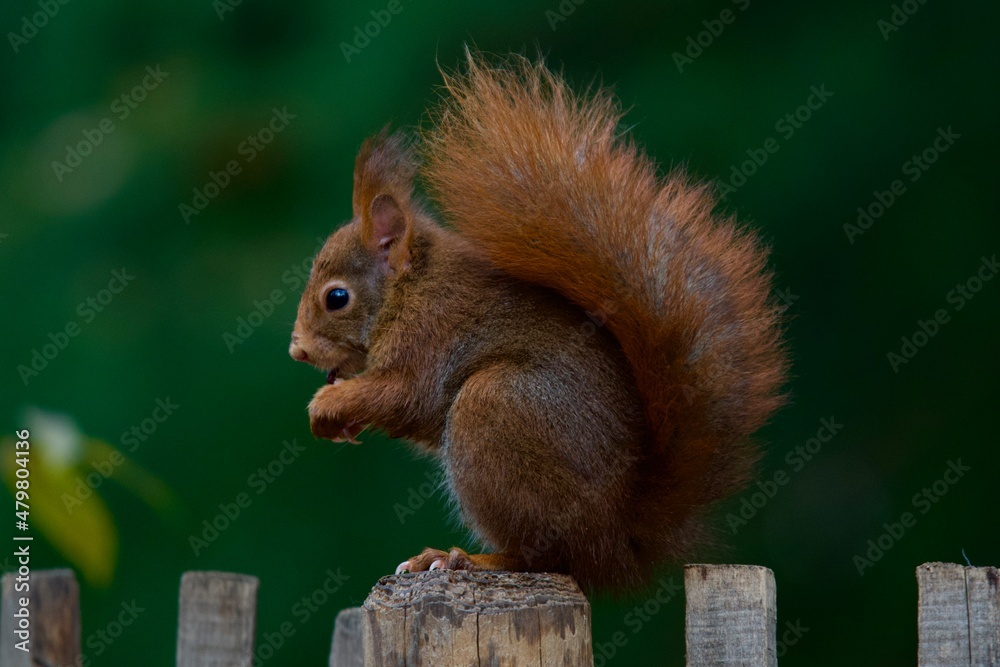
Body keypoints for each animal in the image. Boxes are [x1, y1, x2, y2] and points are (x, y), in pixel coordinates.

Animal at [288, 54, 787, 591]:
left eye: (336, 298)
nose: (297, 350)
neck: (410, 289)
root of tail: (619, 539)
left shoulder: (430, 337)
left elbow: (405, 395)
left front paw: (328, 404)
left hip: (496, 410)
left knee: (545, 556)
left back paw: (464, 558)